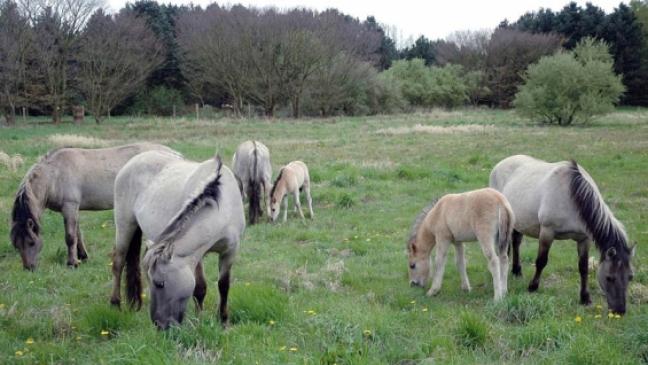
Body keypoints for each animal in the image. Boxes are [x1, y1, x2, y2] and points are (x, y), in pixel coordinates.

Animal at [10, 142, 172, 270]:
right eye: (16, 245)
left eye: (31, 242)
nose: (28, 268)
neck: (54, 174)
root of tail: (171, 153)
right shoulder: (72, 210)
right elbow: (77, 234)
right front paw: (82, 257)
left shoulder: (70, 206)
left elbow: (70, 237)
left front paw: (72, 263)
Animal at [110, 149, 244, 328]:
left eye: (159, 283)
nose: (159, 324)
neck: (222, 207)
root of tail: (133, 161)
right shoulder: (196, 255)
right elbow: (200, 288)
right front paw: (198, 321)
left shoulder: (230, 251)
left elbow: (223, 285)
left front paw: (223, 321)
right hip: (124, 225)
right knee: (118, 262)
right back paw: (115, 303)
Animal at [492, 154, 632, 312]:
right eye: (609, 277)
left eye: (630, 277)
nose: (620, 310)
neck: (572, 196)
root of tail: (501, 163)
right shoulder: (547, 232)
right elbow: (541, 261)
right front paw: (533, 287)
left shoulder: (584, 239)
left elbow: (583, 267)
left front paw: (585, 298)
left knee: (516, 242)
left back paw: (517, 271)